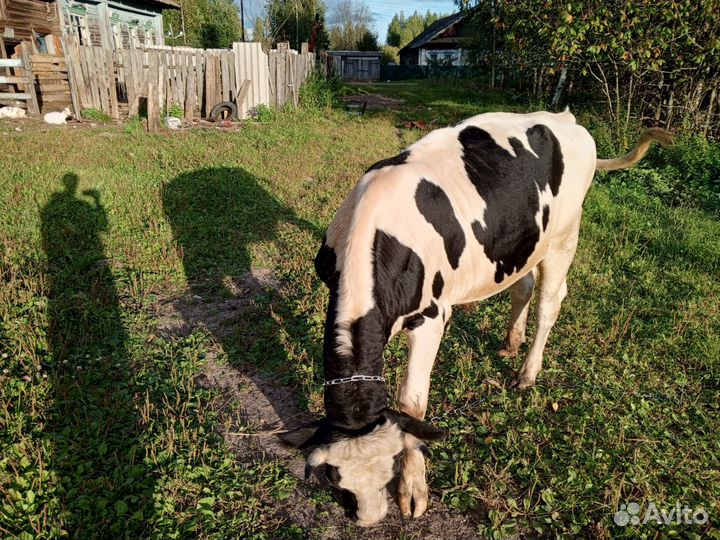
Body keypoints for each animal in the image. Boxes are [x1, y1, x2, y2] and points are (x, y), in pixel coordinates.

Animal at [280, 109, 672, 526]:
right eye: (336, 480)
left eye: (389, 469)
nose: (369, 519)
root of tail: (565, 118)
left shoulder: (432, 317)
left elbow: (412, 406)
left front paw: (413, 493)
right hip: (519, 243)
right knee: (523, 286)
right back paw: (511, 342)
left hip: (564, 238)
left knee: (550, 303)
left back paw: (528, 372)